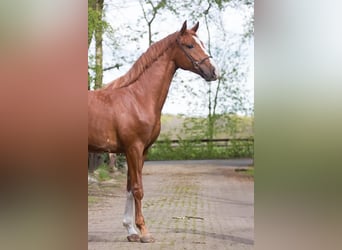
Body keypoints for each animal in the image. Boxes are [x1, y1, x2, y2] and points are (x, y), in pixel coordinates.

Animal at [87, 20, 216, 243]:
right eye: (190, 45)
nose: (213, 72)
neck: (138, 98)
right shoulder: (134, 148)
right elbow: (138, 189)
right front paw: (144, 232)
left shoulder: (141, 151)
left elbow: (130, 188)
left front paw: (131, 231)